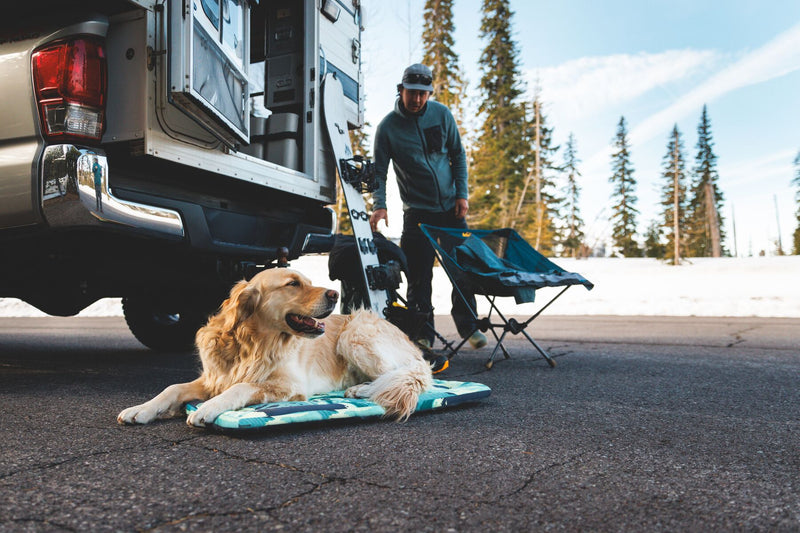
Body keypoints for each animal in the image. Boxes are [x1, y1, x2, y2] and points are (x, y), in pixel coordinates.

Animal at [114, 268, 432, 426]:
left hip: (355, 332)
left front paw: (208, 408)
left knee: (406, 376)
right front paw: (141, 410)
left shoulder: (290, 385)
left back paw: (361, 390)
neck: (253, 344)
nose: (334, 294)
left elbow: (241, 387)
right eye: (293, 284)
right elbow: (172, 388)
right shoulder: (213, 378)